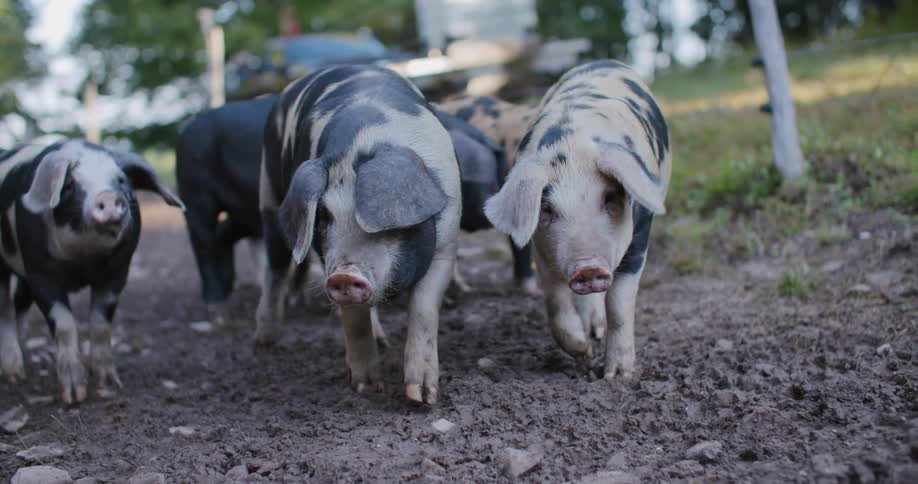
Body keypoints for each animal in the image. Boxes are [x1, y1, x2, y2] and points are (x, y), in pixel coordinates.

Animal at [0, 139, 184, 402]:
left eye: (121, 180)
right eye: (69, 184)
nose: (107, 196)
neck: (83, 260)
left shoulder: (119, 270)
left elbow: (101, 323)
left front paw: (110, 384)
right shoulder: (38, 272)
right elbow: (64, 323)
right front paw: (73, 396)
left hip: (22, 279)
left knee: (19, 308)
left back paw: (25, 366)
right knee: (4, 310)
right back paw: (14, 375)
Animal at [258, 65, 461, 404]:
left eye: (383, 222)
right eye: (324, 217)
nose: (344, 275)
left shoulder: (446, 244)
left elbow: (423, 309)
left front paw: (421, 397)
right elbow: (353, 321)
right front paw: (367, 388)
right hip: (269, 197)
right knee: (275, 270)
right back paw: (265, 342)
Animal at [484, 60, 671, 380]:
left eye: (609, 198)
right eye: (547, 209)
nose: (587, 268)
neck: (573, 151)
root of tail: (602, 61)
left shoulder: (639, 238)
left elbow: (619, 304)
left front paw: (616, 376)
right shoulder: (542, 250)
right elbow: (556, 306)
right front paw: (585, 355)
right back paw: (591, 331)